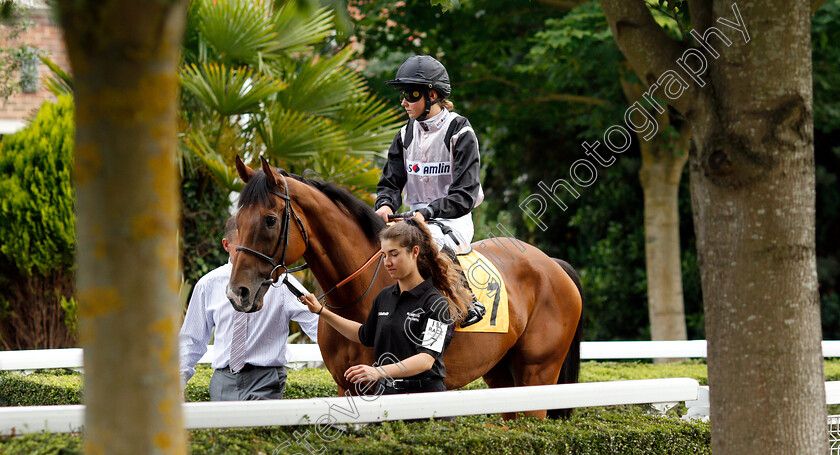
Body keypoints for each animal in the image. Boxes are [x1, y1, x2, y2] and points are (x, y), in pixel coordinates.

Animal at [230, 158, 584, 420]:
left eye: (270, 219)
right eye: (237, 220)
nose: (238, 294)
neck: (358, 296)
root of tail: (552, 264)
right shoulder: (345, 385)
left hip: (537, 374)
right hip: (502, 376)